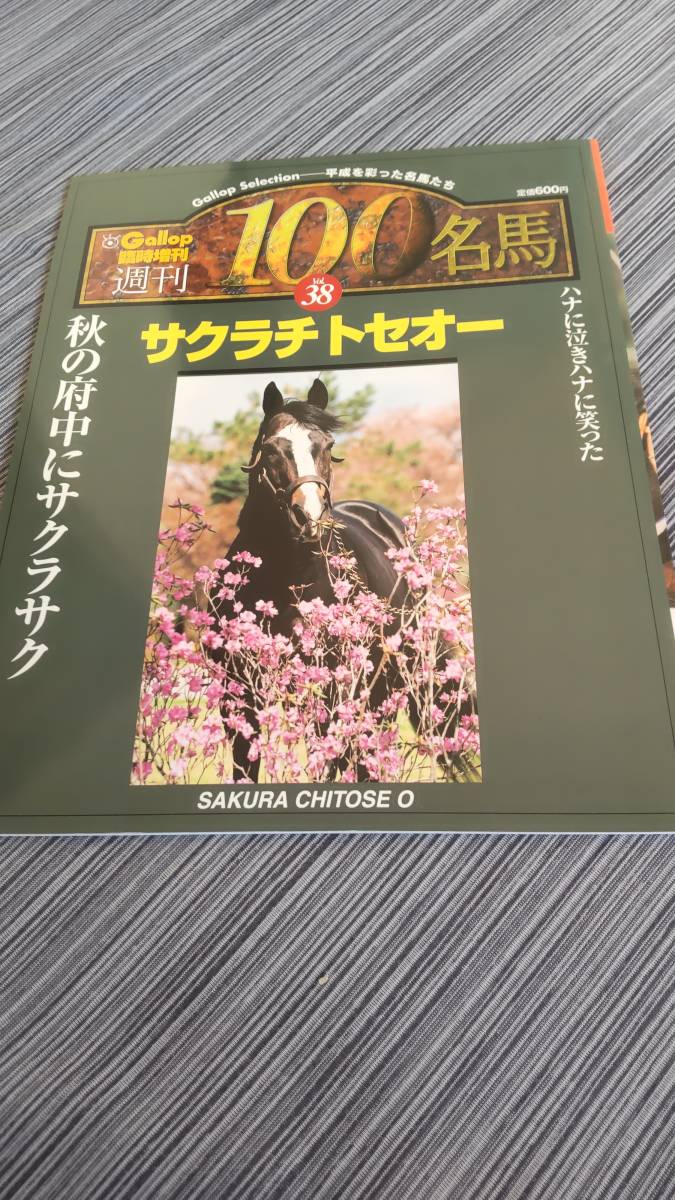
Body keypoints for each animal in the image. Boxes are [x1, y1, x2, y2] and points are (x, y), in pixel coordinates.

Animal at [209, 377, 468, 781]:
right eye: (271, 450)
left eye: (327, 446)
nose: (308, 517)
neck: (284, 578)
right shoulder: (238, 694)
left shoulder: (332, 693)